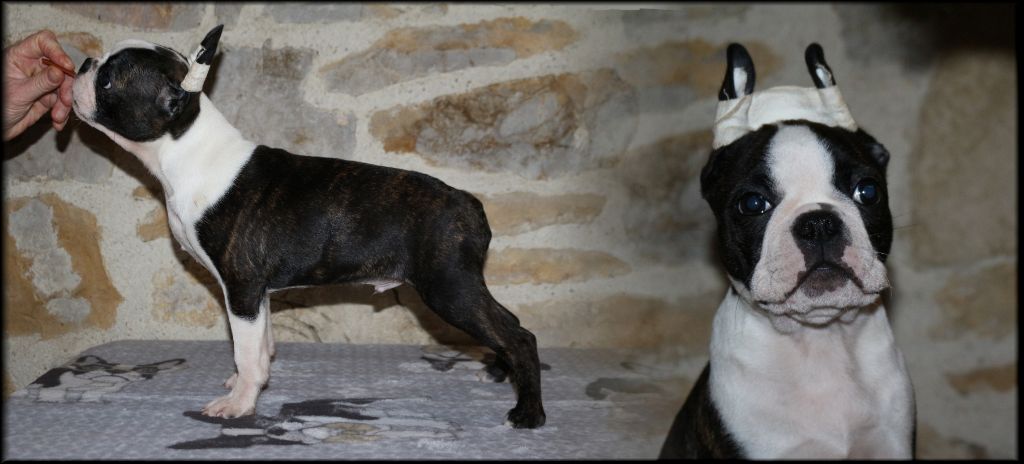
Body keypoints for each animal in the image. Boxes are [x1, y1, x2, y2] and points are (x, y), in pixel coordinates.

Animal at [70, 25, 545, 429]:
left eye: (108, 81)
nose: (83, 63)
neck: (184, 149)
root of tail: (468, 202)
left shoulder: (241, 288)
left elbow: (246, 349)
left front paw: (239, 404)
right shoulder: (257, 294)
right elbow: (261, 345)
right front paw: (249, 385)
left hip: (447, 286)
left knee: (518, 335)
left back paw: (527, 413)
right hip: (458, 284)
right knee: (507, 322)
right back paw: (499, 373)